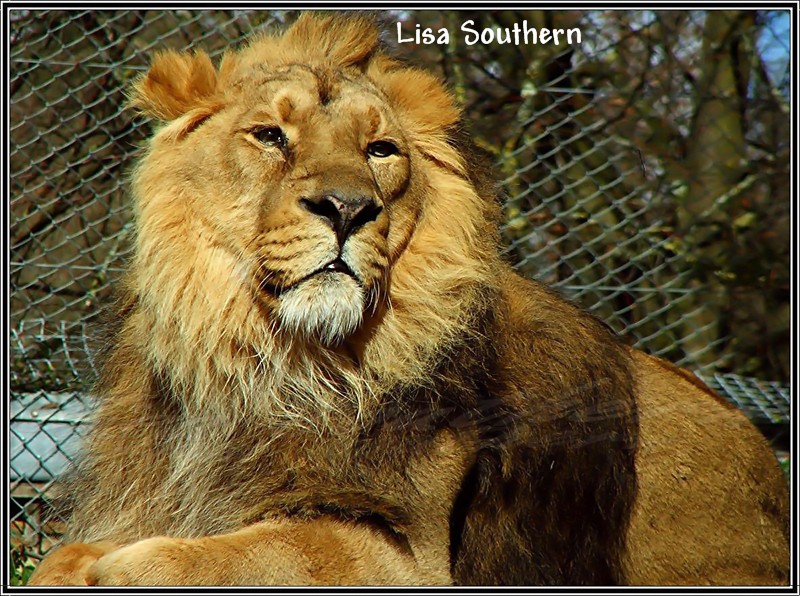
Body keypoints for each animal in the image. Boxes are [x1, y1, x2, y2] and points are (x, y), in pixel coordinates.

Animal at [29, 14, 789, 586]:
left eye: (381, 150)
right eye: (270, 135)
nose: (346, 207)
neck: (273, 363)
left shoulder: (401, 549)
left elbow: (227, 554)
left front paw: (117, 567)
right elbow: (66, 554)